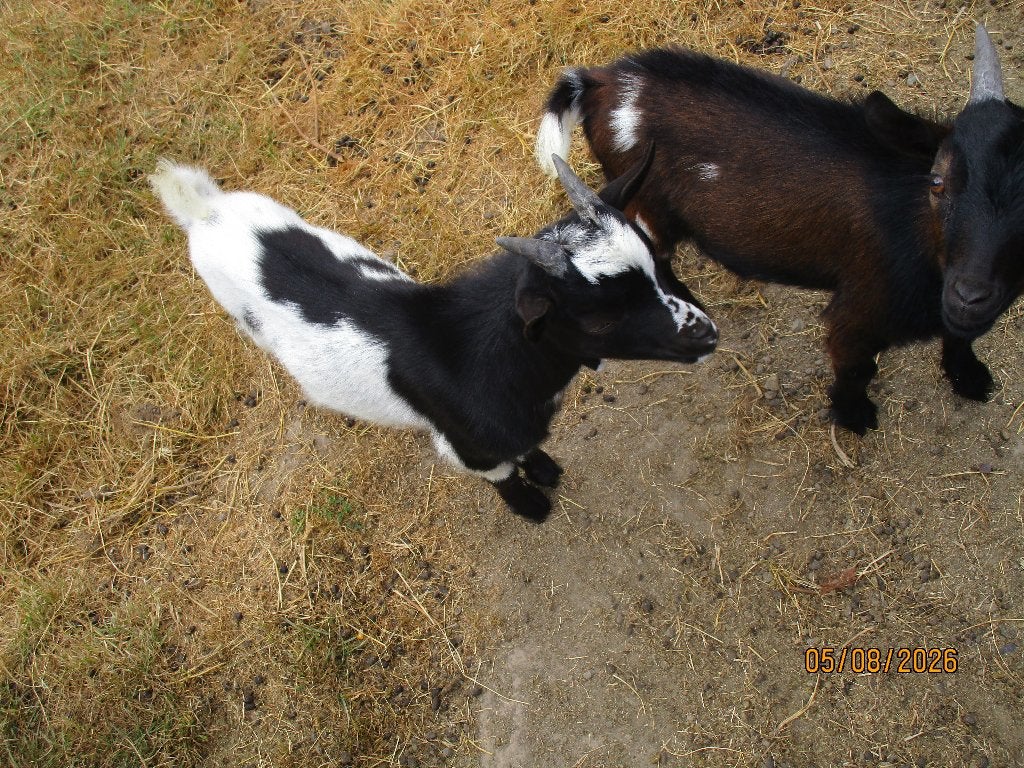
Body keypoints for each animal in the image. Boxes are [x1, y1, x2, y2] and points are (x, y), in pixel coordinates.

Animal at [149, 150, 718, 522]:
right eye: (600, 317)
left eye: (658, 263)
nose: (707, 335)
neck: (471, 354)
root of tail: (205, 210)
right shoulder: (468, 445)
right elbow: (500, 474)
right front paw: (533, 505)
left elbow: (527, 449)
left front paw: (545, 468)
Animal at [535, 24, 1024, 435]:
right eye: (937, 182)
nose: (969, 294)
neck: (917, 230)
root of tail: (601, 83)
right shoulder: (860, 309)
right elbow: (856, 366)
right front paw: (853, 416)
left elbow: (962, 337)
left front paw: (970, 379)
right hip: (642, 199)